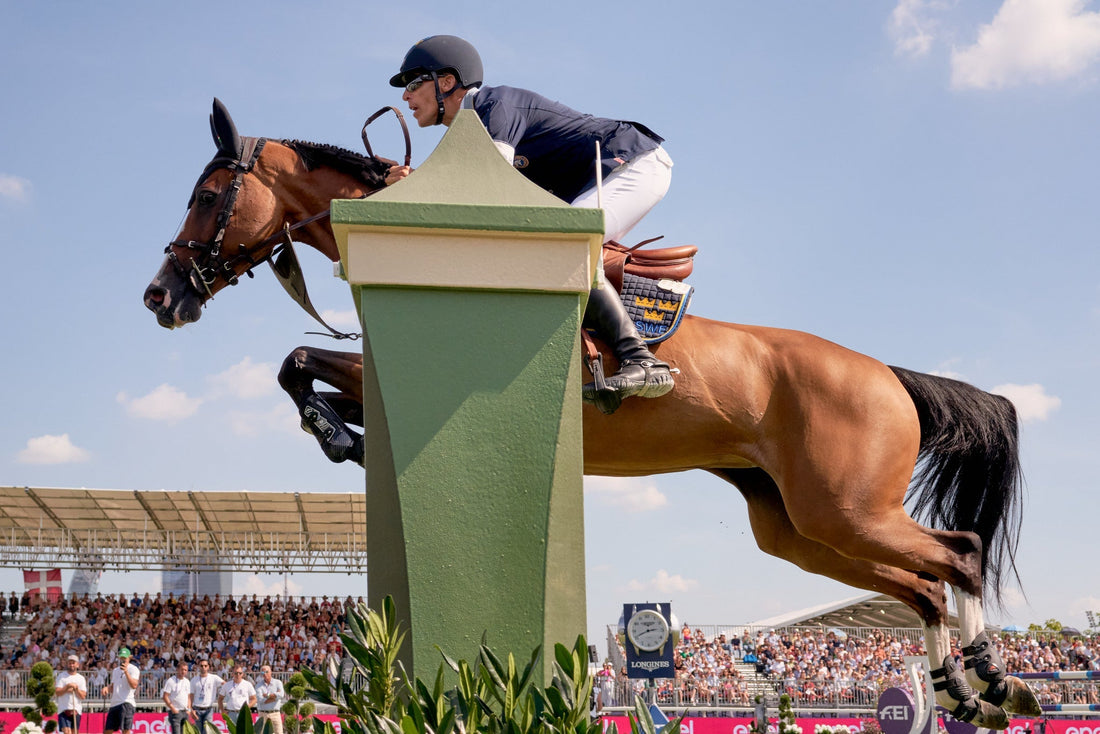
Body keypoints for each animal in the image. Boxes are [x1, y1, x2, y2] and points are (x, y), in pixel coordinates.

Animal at [146, 99, 1038, 730]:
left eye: (206, 195)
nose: (161, 297)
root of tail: (888, 375)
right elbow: (302, 371)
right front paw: (337, 434)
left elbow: (300, 364)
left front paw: (335, 433)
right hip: (800, 529)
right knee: (921, 586)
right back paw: (962, 691)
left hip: (844, 509)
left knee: (956, 555)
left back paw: (996, 679)